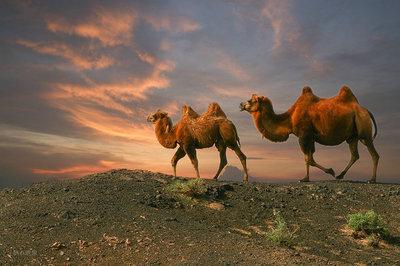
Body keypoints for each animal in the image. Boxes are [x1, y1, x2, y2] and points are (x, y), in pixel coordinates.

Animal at [239, 85, 380, 183]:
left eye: (250, 100)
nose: (240, 104)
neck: (290, 119)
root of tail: (365, 109)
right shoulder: (310, 137)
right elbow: (309, 158)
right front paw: (310, 177)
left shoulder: (304, 135)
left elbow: (309, 159)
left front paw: (325, 172)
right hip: (352, 136)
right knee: (355, 155)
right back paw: (341, 175)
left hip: (364, 130)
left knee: (374, 154)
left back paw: (372, 179)